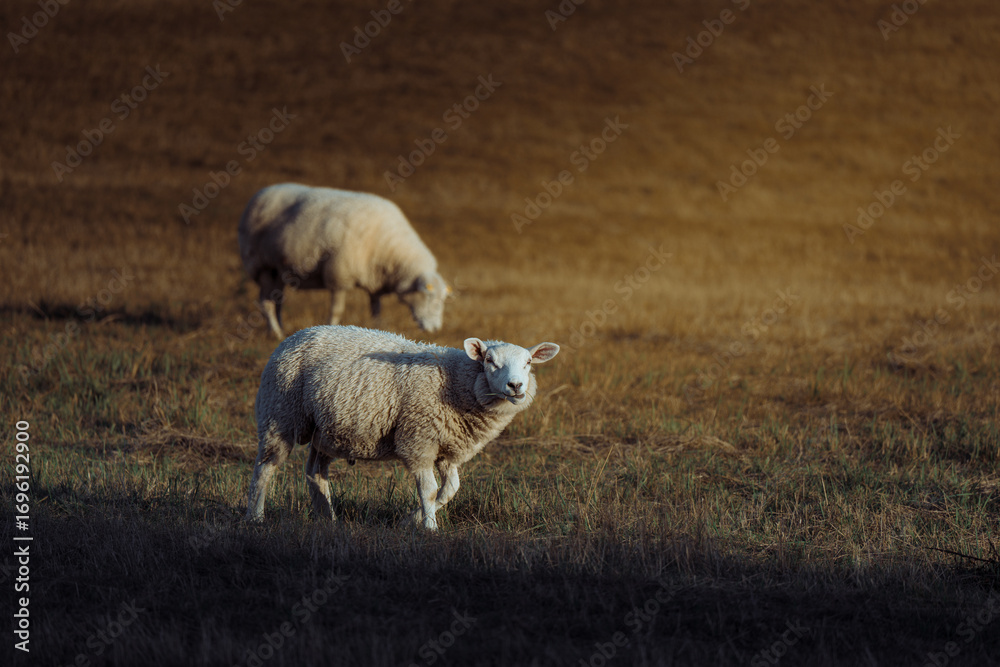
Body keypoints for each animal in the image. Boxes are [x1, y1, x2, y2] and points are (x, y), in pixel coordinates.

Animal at [237, 183, 450, 339]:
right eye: (430, 296)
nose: (435, 329)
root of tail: (261, 193)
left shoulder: (375, 282)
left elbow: (376, 310)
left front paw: (378, 328)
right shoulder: (338, 275)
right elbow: (336, 311)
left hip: (278, 270)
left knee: (278, 300)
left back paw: (281, 329)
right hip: (261, 265)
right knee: (265, 302)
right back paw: (275, 333)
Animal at [244, 325, 560, 530]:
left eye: (528, 362)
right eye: (490, 361)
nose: (516, 386)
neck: (456, 382)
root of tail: (296, 336)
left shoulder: (448, 449)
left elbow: (450, 490)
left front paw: (411, 520)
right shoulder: (419, 441)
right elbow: (430, 490)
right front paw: (430, 528)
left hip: (329, 431)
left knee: (315, 474)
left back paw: (328, 520)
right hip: (279, 415)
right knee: (265, 468)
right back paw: (256, 517)